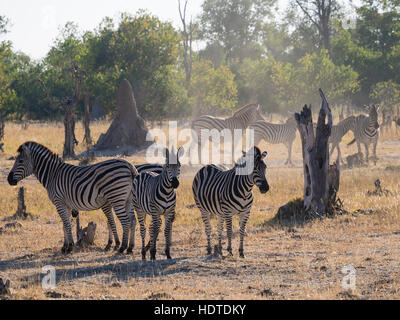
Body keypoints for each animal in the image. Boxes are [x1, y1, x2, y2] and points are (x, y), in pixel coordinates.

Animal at [7, 141, 138, 254]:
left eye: (20, 161)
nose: (9, 179)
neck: (52, 175)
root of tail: (129, 166)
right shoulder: (67, 204)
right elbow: (66, 224)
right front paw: (65, 246)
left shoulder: (59, 202)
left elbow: (65, 224)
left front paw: (69, 247)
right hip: (128, 200)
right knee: (132, 220)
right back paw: (130, 248)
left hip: (117, 198)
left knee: (126, 221)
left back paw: (122, 248)